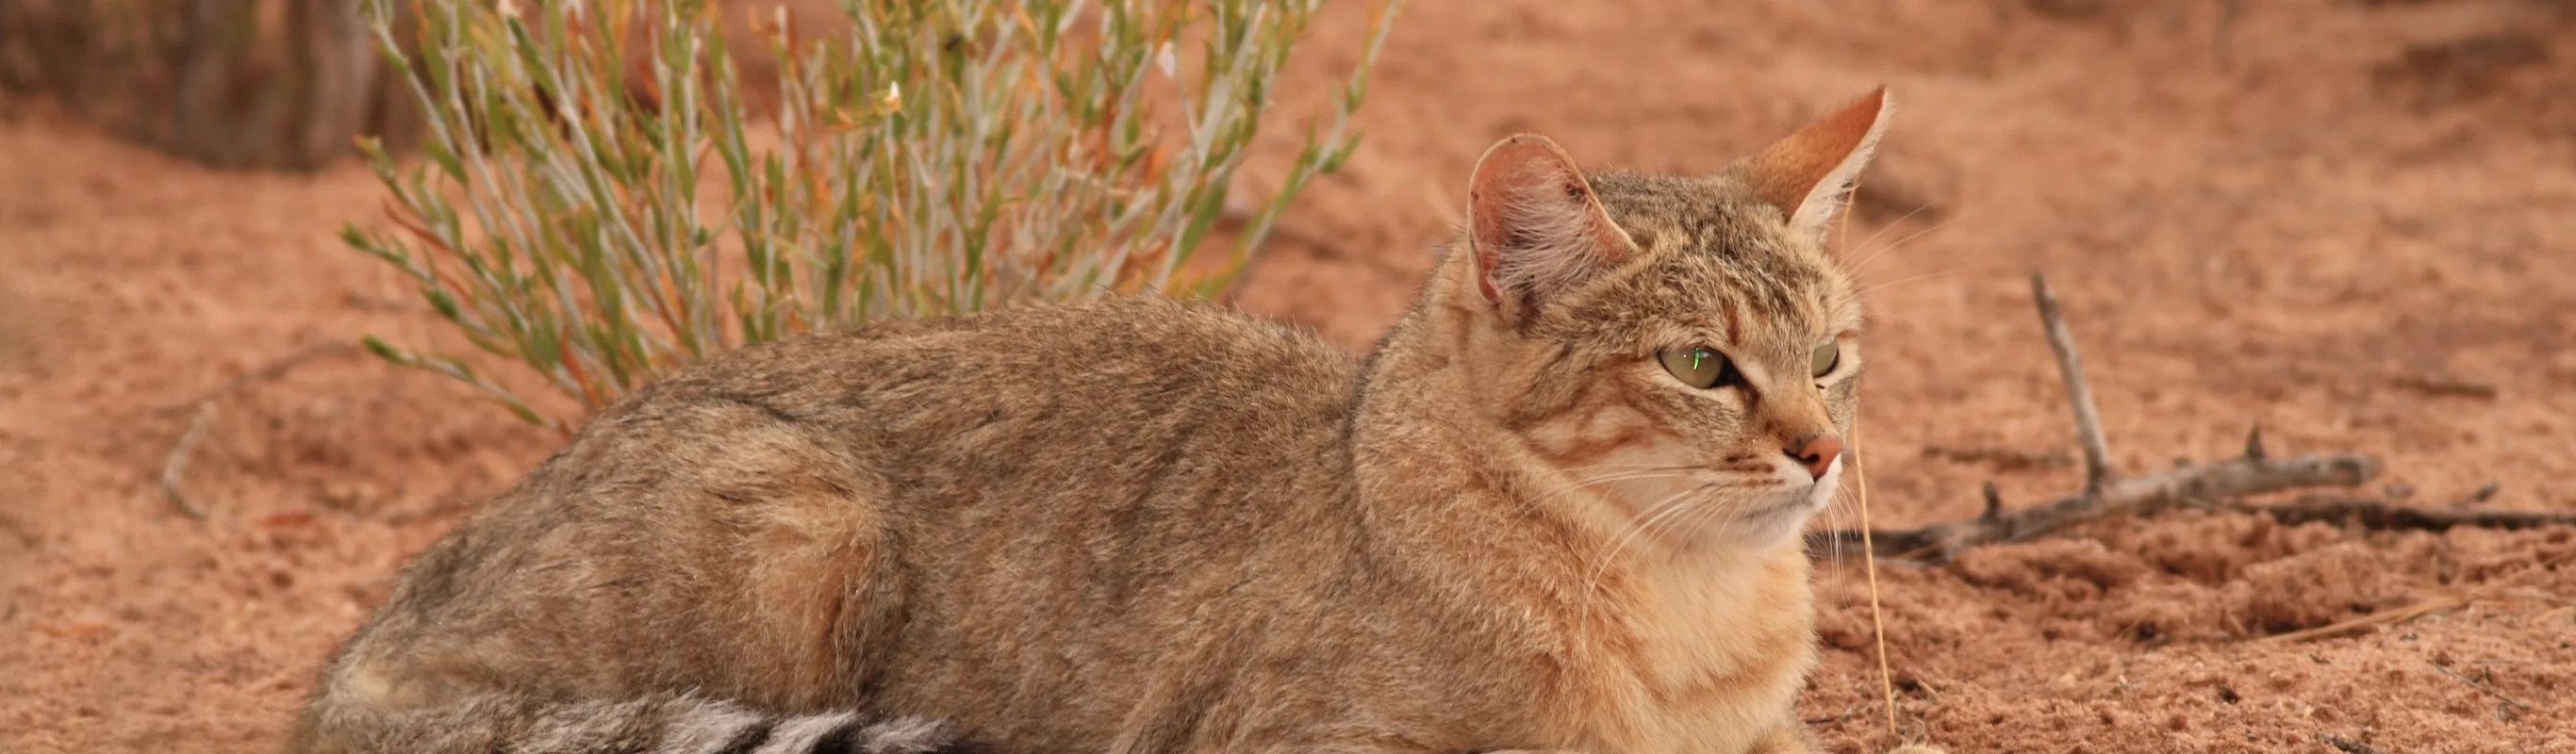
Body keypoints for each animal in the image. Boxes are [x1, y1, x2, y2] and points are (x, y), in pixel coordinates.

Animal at [292, 88, 1937, 751]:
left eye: (1833, 355)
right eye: (1700, 366)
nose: (1823, 453)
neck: (1679, 607)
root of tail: (361, 650)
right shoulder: (1313, 744)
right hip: (798, 504)